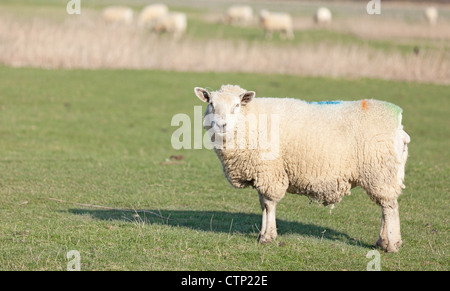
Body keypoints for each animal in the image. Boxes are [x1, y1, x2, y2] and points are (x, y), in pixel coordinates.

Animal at [193, 84, 412, 253]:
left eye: (237, 105)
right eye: (211, 104)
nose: (221, 125)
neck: (251, 119)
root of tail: (399, 123)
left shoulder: (270, 172)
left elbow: (269, 204)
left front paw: (267, 237)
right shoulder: (262, 172)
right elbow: (263, 204)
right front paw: (263, 233)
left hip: (380, 171)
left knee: (389, 206)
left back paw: (391, 244)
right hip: (383, 173)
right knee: (386, 206)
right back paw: (383, 241)